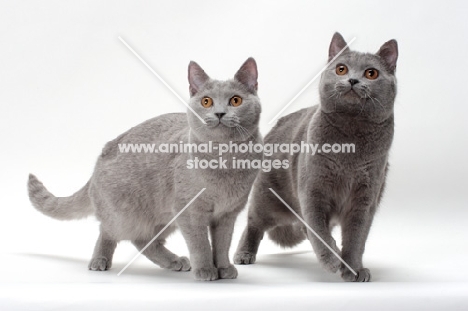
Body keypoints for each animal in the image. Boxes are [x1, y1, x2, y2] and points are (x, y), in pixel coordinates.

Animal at [28, 57, 264, 282]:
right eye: (207, 102)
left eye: (235, 100)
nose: (220, 113)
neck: (226, 160)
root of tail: (97, 164)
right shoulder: (189, 211)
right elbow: (201, 244)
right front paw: (206, 270)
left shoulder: (227, 214)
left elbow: (223, 244)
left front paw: (223, 268)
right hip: (127, 214)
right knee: (109, 230)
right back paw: (99, 260)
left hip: (164, 215)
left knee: (144, 241)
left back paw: (174, 261)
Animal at [234, 33, 398, 282]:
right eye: (341, 69)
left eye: (371, 73)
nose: (352, 80)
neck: (351, 140)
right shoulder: (313, 190)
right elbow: (318, 231)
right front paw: (332, 261)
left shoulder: (366, 197)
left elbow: (356, 238)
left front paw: (353, 268)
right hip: (268, 195)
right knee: (254, 222)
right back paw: (244, 254)